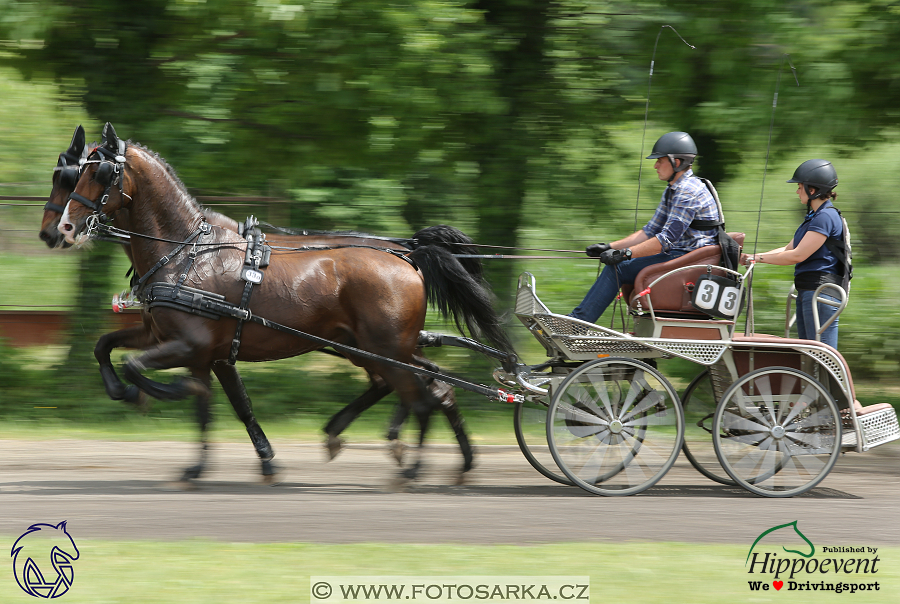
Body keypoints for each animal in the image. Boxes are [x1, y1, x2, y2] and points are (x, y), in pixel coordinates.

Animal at [59, 124, 512, 486]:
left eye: (100, 172)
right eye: (74, 173)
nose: (62, 227)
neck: (186, 253)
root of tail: (407, 254)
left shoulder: (193, 347)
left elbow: (155, 375)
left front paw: (154, 395)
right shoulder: (178, 342)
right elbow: (107, 347)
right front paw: (202, 462)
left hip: (386, 347)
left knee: (421, 395)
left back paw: (412, 465)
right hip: (373, 347)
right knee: (433, 388)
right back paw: (454, 461)